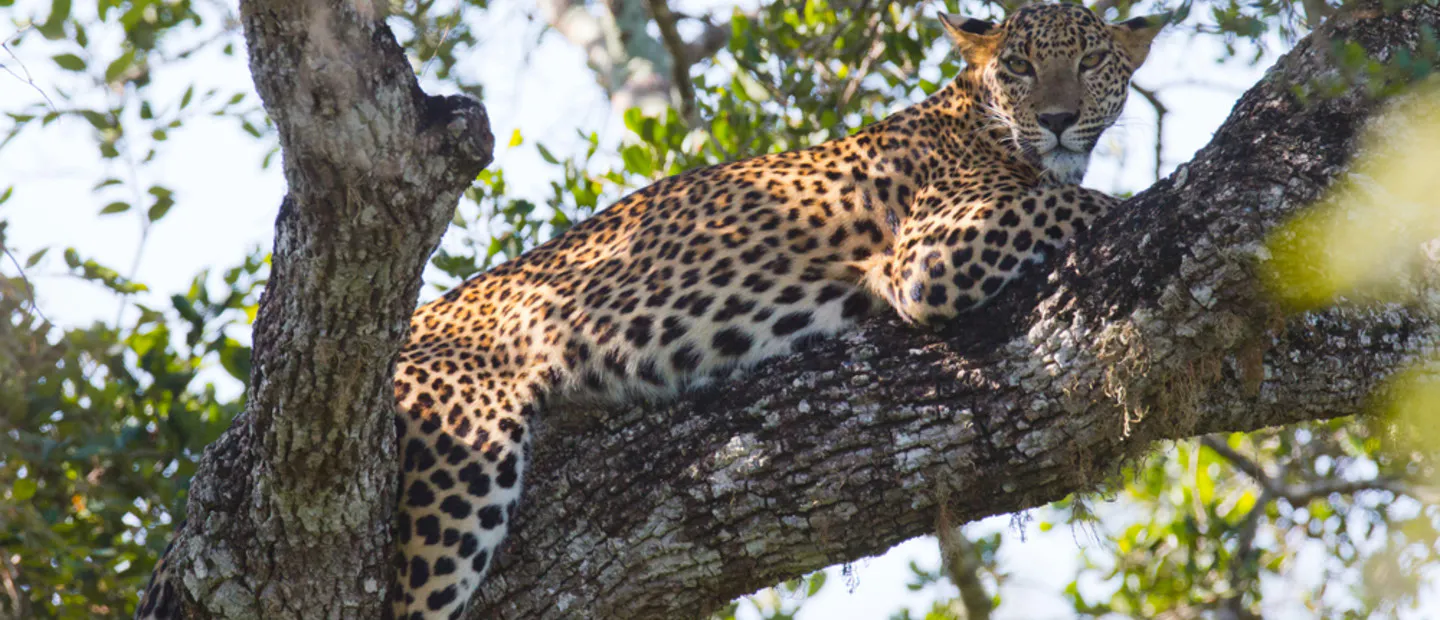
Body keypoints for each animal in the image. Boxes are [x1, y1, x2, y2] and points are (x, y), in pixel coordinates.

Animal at [135, 4, 1164, 619]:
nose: (1060, 118)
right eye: (1021, 66)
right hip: (461, 455)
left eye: (1092, 63)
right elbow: (1083, 202)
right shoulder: (932, 252)